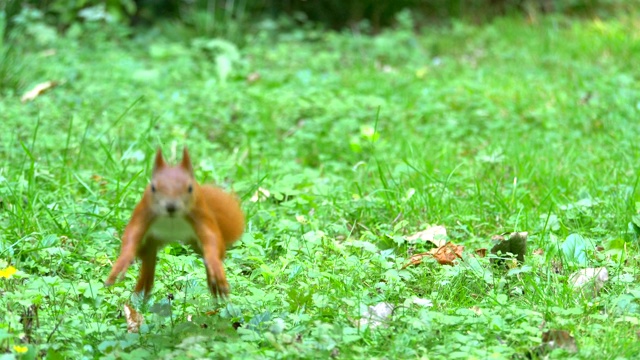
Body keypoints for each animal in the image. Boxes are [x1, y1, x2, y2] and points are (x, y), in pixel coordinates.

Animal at [105, 148, 245, 300]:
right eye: (153, 188)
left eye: (190, 188)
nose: (171, 207)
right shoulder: (144, 211)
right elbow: (132, 233)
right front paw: (123, 261)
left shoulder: (199, 212)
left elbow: (211, 236)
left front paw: (214, 263)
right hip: (150, 242)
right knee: (148, 260)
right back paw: (140, 293)